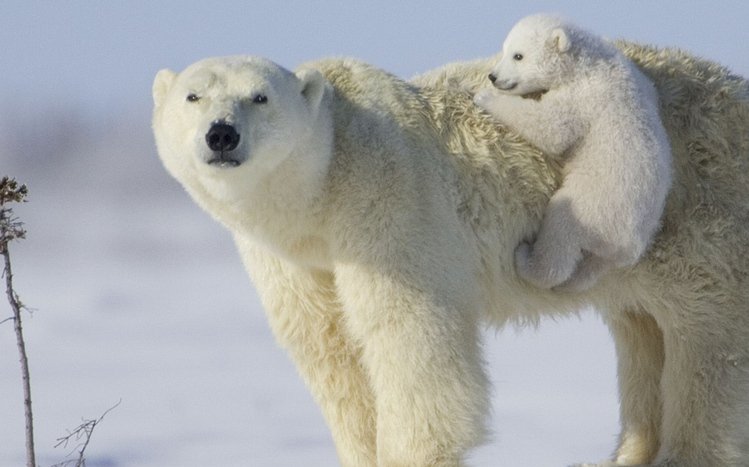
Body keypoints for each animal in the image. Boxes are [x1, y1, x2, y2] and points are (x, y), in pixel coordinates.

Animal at [152, 48, 749, 466]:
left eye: (260, 97)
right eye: (192, 97)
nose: (221, 135)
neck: (324, 185)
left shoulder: (388, 202)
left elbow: (408, 335)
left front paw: (407, 454)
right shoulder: (292, 258)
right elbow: (330, 347)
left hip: (692, 204)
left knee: (705, 332)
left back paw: (683, 453)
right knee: (641, 326)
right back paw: (624, 454)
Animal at [472, 14, 673, 292]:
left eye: (518, 55)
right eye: (504, 49)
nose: (493, 76)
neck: (587, 63)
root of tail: (629, 245)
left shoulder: (583, 96)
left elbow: (552, 128)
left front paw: (485, 97)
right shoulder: (638, 77)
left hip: (592, 207)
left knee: (560, 233)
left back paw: (527, 260)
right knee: (591, 268)